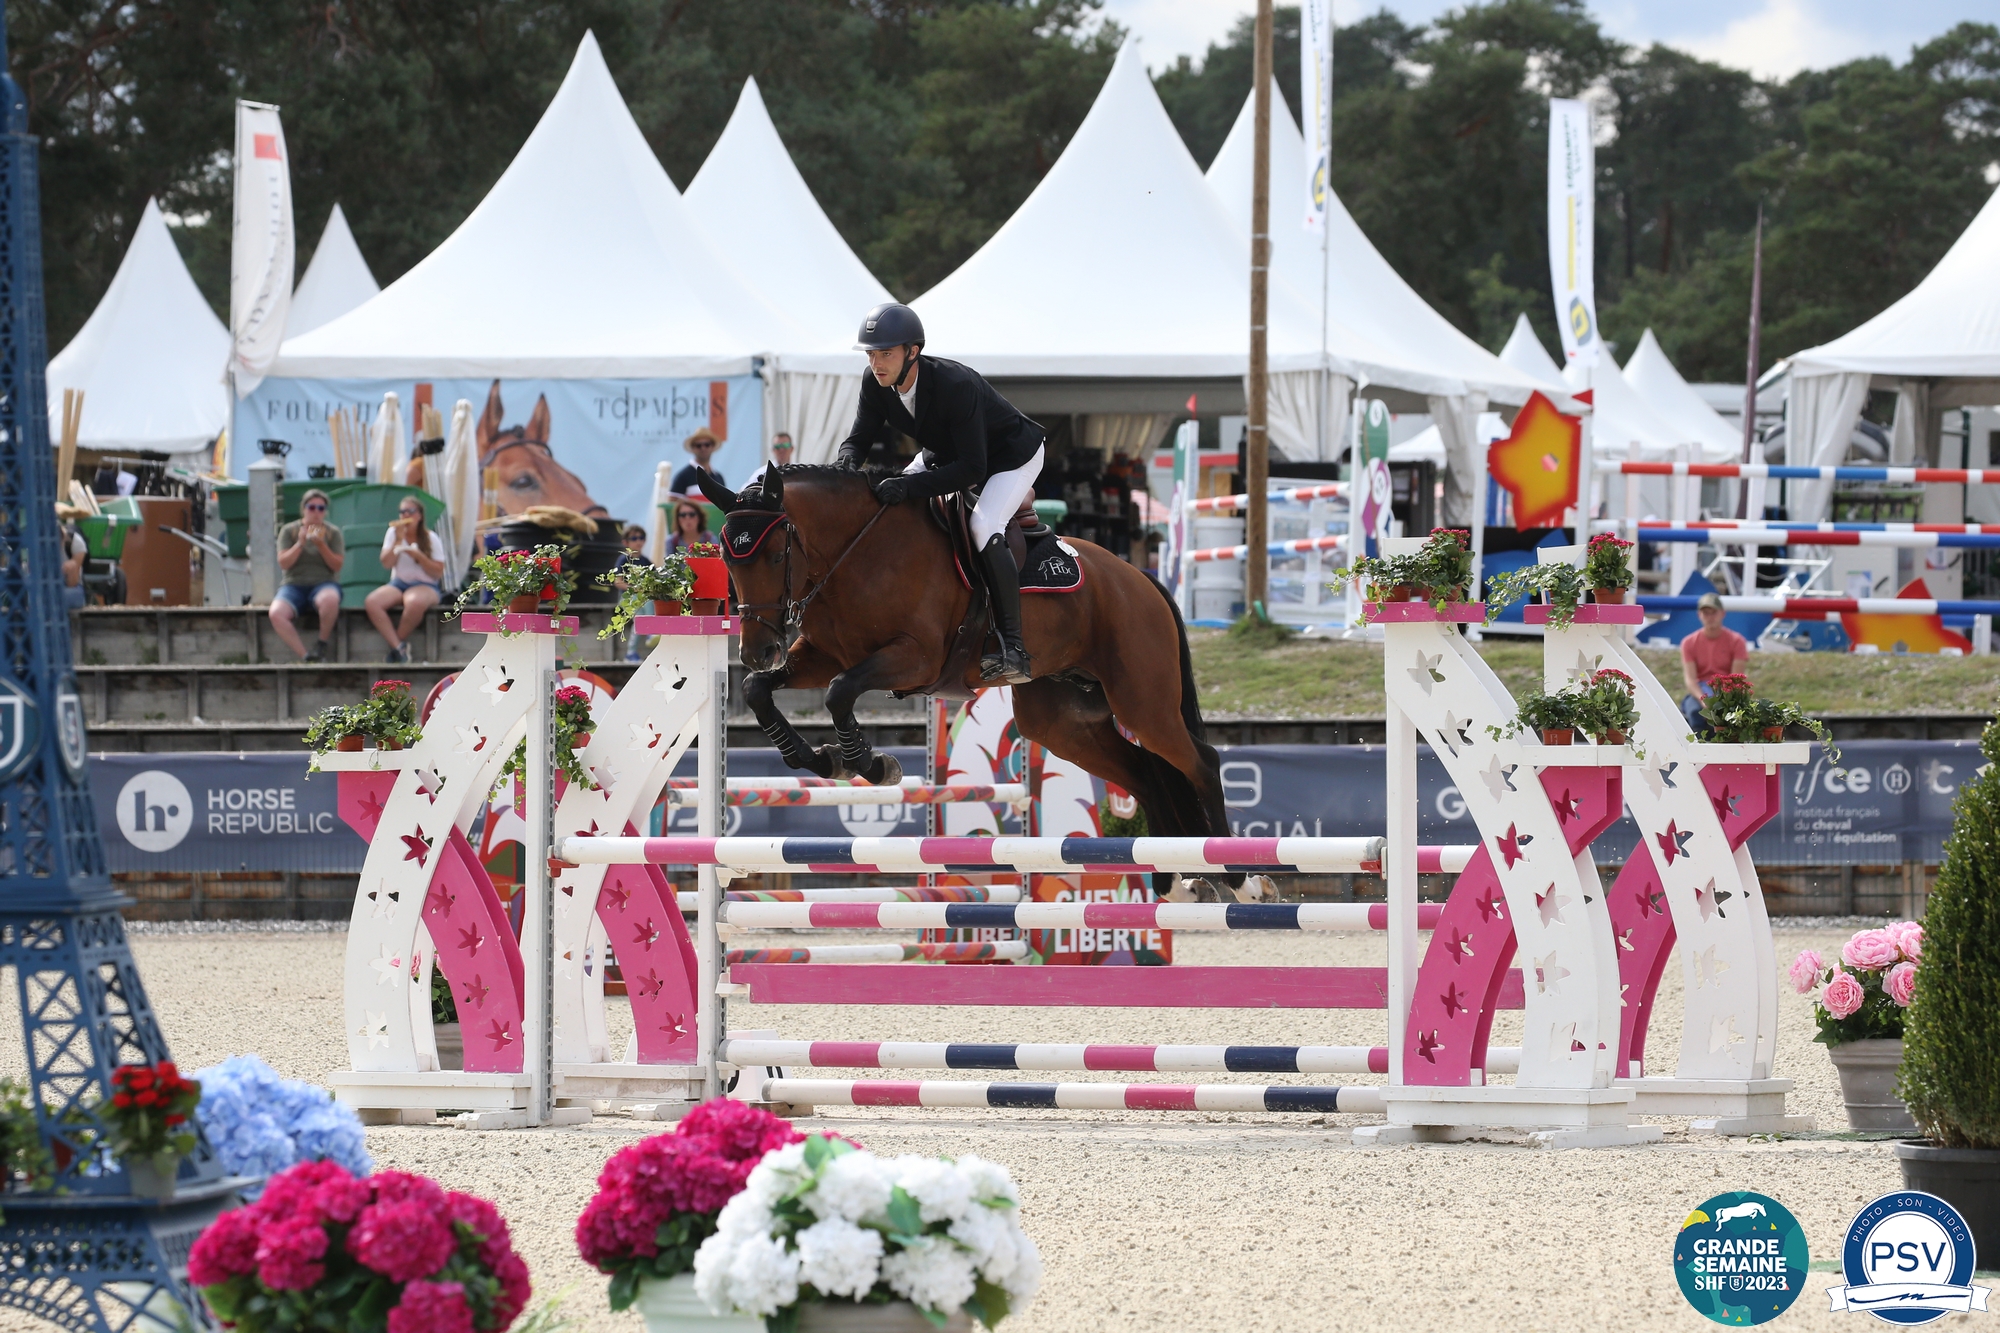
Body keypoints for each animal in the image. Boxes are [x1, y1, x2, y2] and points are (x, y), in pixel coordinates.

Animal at [696, 464, 1240, 892]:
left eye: (775, 555)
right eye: (724, 557)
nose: (758, 651)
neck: (856, 550)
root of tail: (1139, 577)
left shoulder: (914, 658)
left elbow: (839, 693)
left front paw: (871, 765)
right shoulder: (822, 655)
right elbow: (758, 690)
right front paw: (818, 759)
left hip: (1142, 702)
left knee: (1201, 761)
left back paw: (1234, 873)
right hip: (1063, 723)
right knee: (1144, 770)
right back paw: (1175, 876)